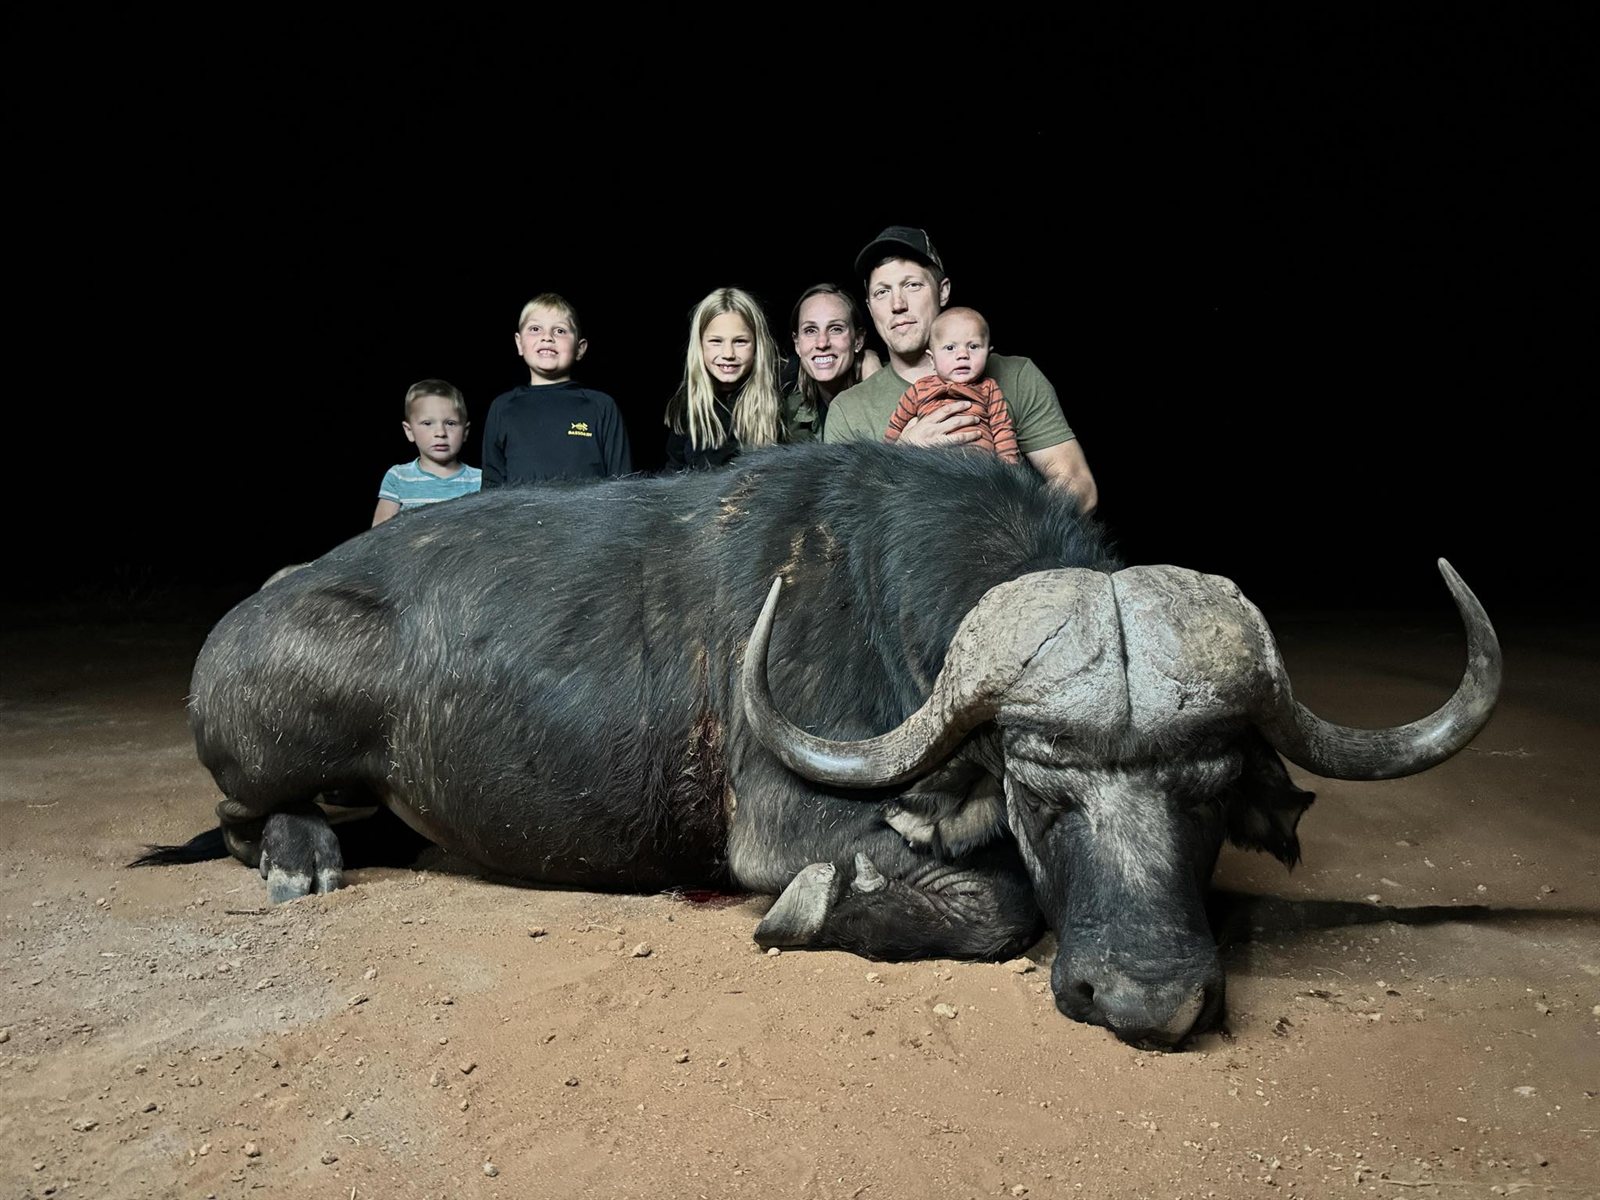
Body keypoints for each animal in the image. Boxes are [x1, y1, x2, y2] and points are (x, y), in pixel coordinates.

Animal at [140, 443, 1500, 1047]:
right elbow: (994, 905)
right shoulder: (790, 826)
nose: (1147, 1000)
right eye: (1037, 788)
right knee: (246, 817)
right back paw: (304, 856)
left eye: (1210, 789)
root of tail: (258, 610)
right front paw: (811, 910)